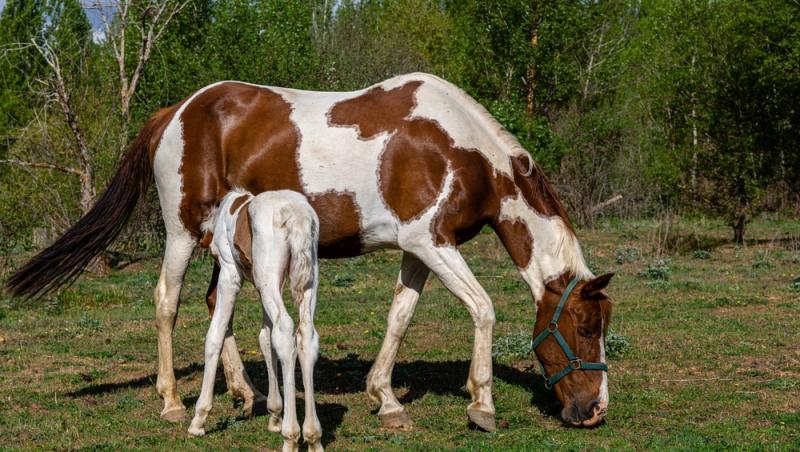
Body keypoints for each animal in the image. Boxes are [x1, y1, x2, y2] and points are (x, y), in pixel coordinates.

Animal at [189, 190, 324, 452]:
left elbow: (215, 336)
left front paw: (199, 419)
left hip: (267, 279)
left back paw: (291, 436)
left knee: (285, 332)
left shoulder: (230, 274)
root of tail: (297, 215)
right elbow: (265, 338)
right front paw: (274, 414)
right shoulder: (267, 288)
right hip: (304, 280)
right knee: (305, 335)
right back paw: (313, 437)